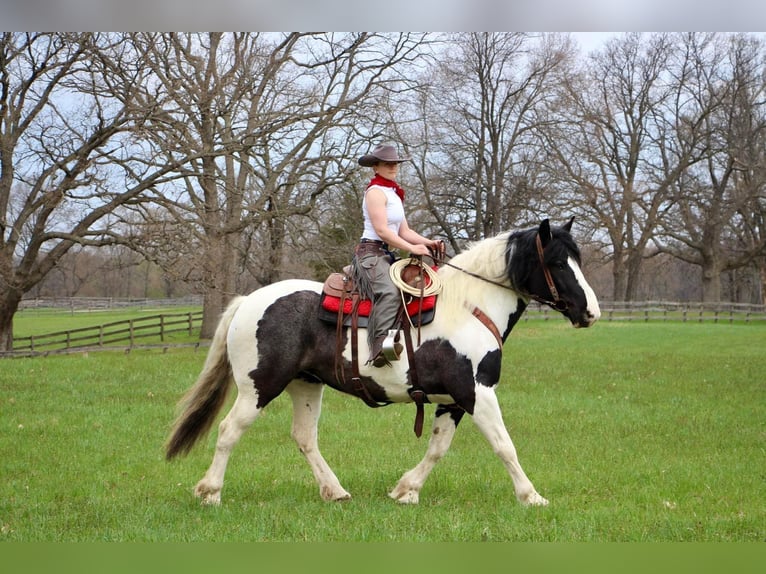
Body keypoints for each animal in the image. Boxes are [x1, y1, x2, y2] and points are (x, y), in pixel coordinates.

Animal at [166, 219, 600, 508]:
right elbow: (504, 445)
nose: (590, 312)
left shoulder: (452, 401)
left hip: (305, 384)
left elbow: (437, 448)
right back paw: (210, 492)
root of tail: (247, 302)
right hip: (259, 386)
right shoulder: (476, 392)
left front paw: (406, 490)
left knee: (305, 437)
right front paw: (531, 496)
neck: (469, 307)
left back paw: (335, 491)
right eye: (558, 263)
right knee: (229, 430)